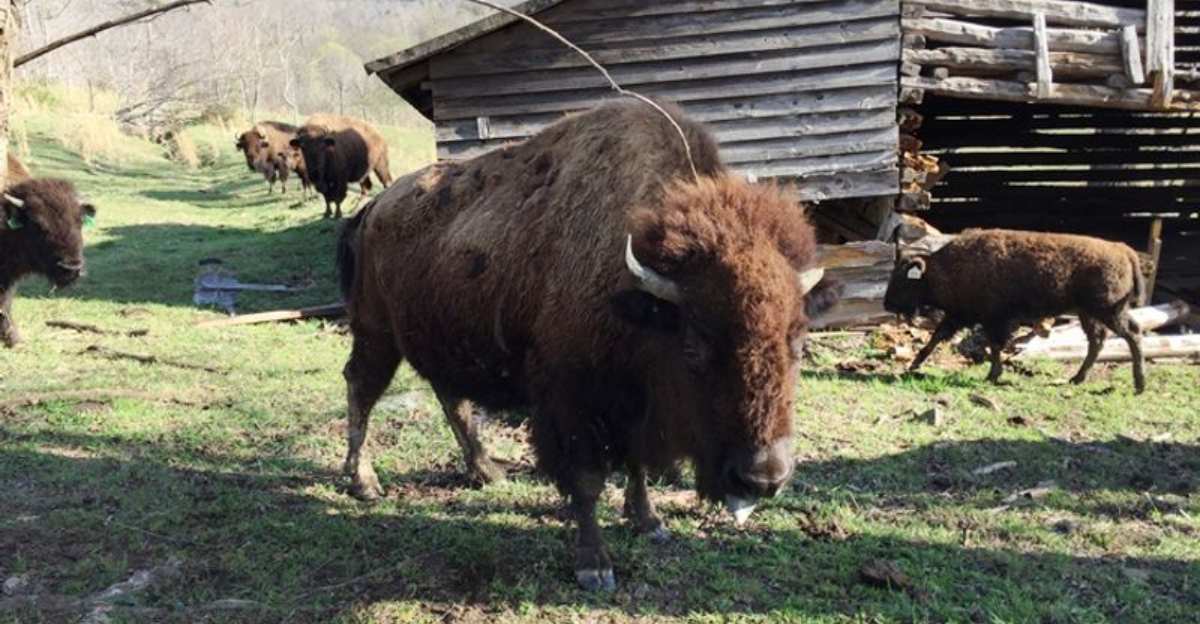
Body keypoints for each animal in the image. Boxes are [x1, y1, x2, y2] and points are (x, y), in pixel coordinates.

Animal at [1, 178, 96, 347]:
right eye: (37, 225)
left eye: (80, 222)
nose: (71, 268)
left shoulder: (8, 279)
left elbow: (5, 304)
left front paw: (14, 339)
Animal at [336, 101, 840, 590]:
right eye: (694, 347)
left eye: (798, 344)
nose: (763, 478)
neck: (633, 295)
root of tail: (373, 208)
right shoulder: (572, 404)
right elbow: (587, 480)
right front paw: (594, 566)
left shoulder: (631, 405)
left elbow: (636, 466)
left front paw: (649, 522)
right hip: (376, 333)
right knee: (362, 387)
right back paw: (364, 482)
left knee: (450, 399)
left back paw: (487, 471)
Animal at [885, 228, 1146, 392]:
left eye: (903, 278)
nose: (887, 303)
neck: (945, 268)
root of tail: (1123, 250)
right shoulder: (959, 316)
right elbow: (936, 337)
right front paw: (914, 364)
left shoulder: (995, 319)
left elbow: (995, 345)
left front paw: (992, 375)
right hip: (1089, 314)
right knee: (1097, 341)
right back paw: (1077, 379)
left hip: (1108, 311)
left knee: (1132, 334)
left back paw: (1139, 385)